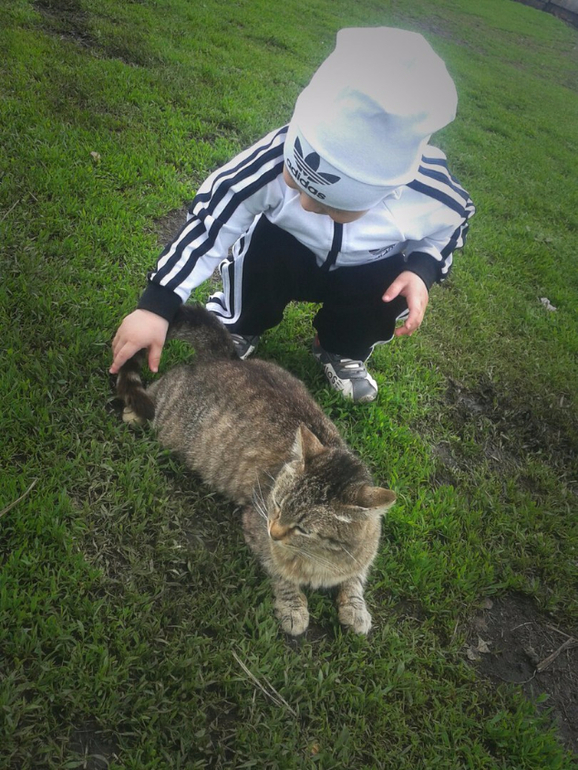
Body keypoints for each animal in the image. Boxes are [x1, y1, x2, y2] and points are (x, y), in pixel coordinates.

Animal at [116, 305, 395, 635]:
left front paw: (355, 608)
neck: (321, 560)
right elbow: (280, 572)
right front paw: (293, 606)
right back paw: (135, 411)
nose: (274, 531)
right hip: (167, 415)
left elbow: (355, 579)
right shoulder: (255, 523)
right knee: (153, 391)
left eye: (304, 528)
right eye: (277, 505)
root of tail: (224, 356)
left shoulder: (362, 554)